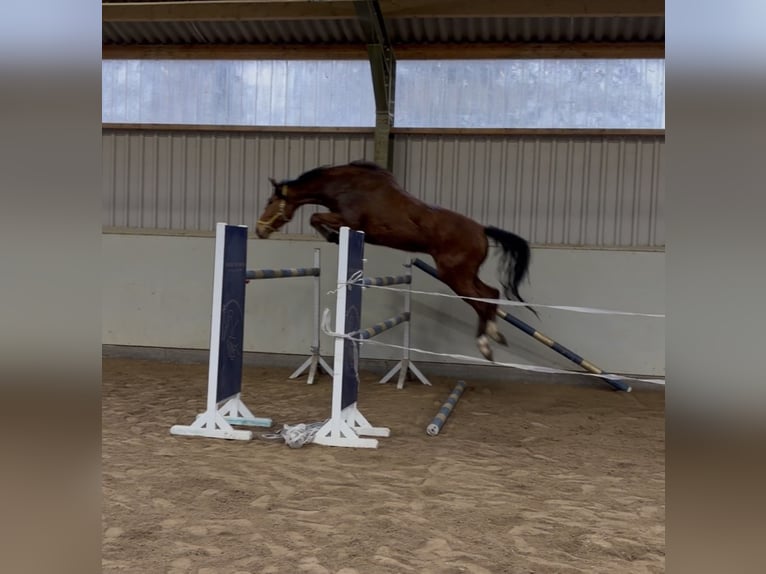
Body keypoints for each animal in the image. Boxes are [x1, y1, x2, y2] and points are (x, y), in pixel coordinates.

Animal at [255, 160, 536, 362]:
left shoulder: (349, 220)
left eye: (270, 201)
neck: (345, 186)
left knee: (481, 300)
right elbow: (315, 217)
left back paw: (485, 345)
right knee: (491, 293)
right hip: (465, 273)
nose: (259, 231)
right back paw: (495, 334)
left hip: (453, 274)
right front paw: (332, 237)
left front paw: (333, 237)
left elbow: (314, 217)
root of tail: (481, 230)